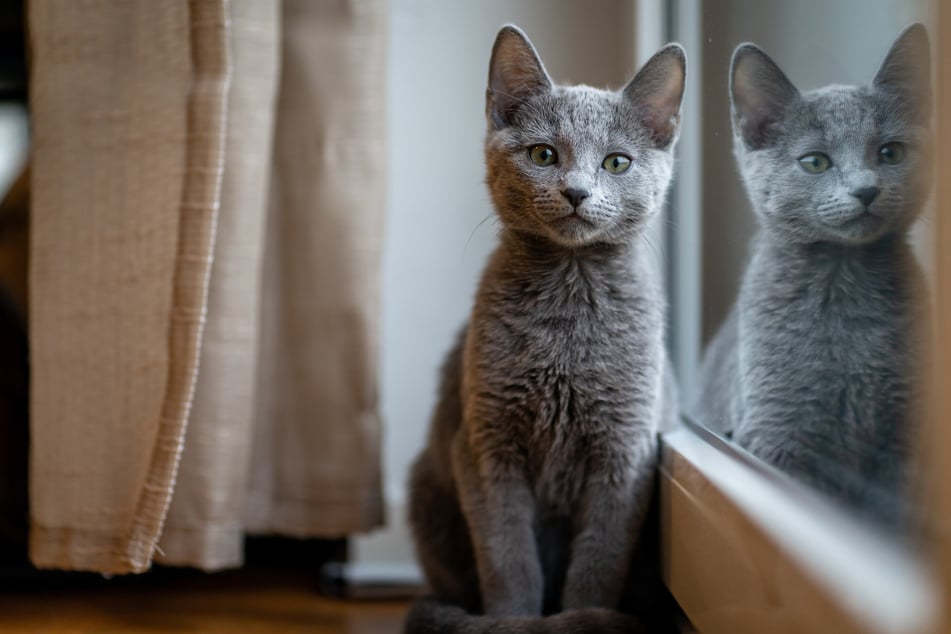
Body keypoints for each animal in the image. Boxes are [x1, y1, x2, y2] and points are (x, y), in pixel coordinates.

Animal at [402, 24, 684, 632]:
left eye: (617, 163)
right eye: (543, 154)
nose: (576, 191)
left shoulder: (624, 455)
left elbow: (596, 565)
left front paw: (584, 617)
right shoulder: (487, 446)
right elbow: (508, 559)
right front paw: (515, 620)